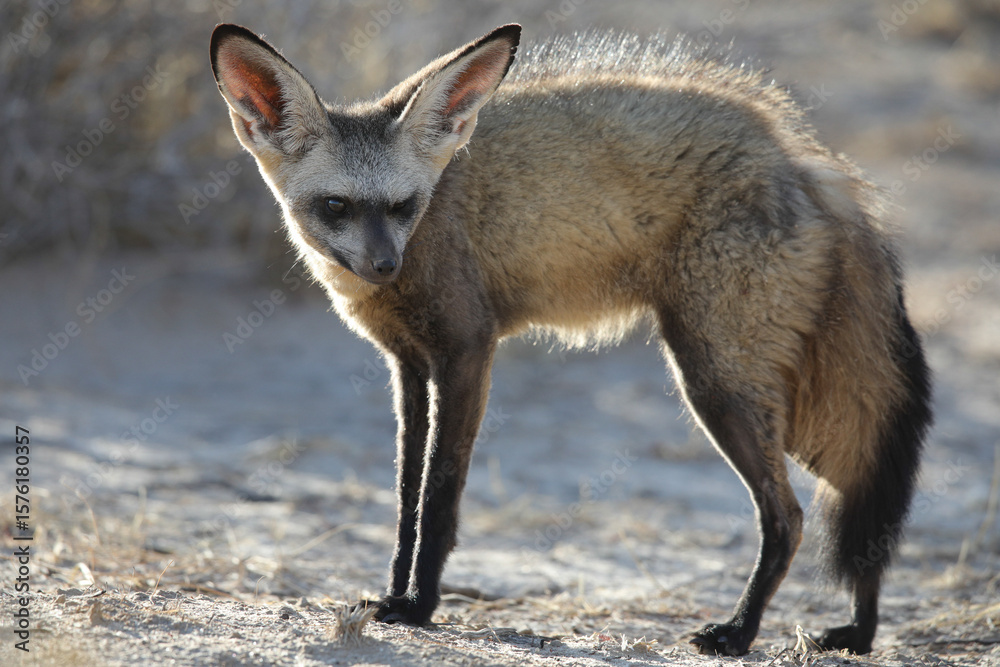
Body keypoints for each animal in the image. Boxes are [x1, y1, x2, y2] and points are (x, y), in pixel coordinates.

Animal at [209, 22, 932, 656]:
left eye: (403, 207)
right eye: (336, 206)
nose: (385, 265)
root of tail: (800, 154)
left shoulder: (468, 351)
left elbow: (440, 497)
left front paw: (419, 607)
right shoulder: (408, 367)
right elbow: (405, 498)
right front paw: (393, 594)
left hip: (722, 384)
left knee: (791, 517)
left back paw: (739, 632)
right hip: (786, 404)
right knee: (863, 509)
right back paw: (859, 634)